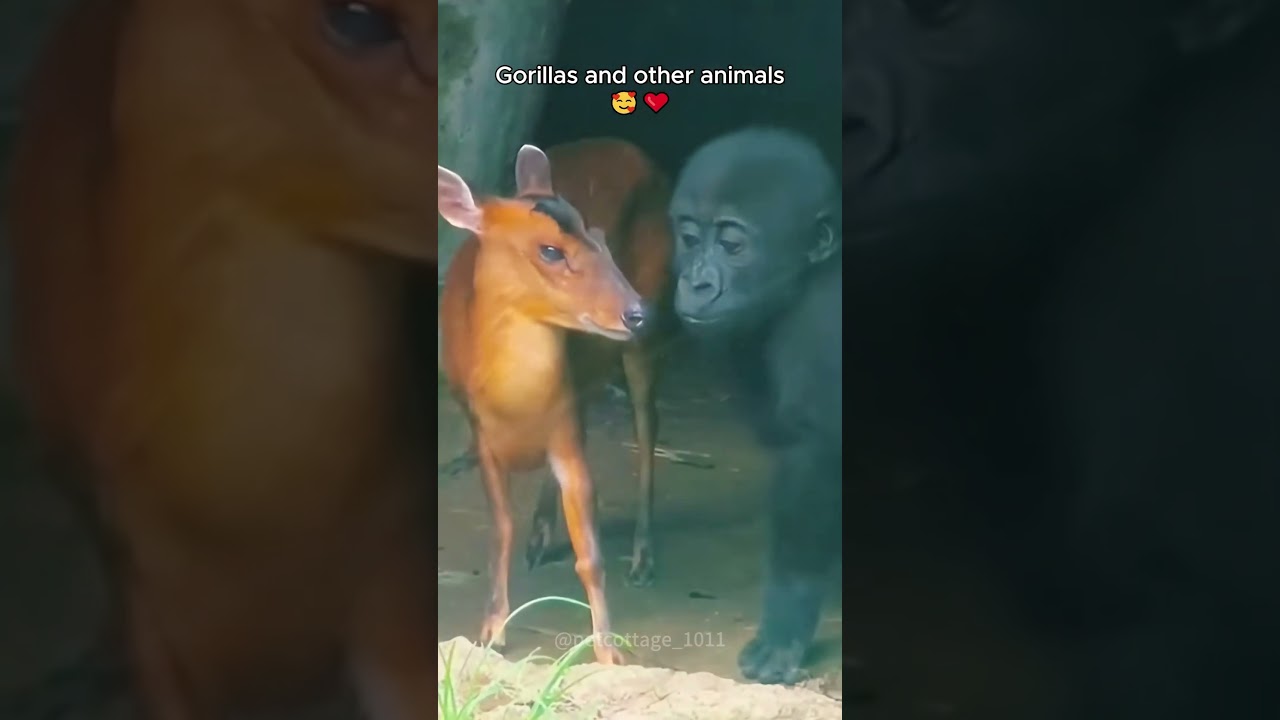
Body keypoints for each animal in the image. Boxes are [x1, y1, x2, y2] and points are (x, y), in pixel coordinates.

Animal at [668, 126, 842, 685]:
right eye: (689, 238)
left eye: (732, 245)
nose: (696, 282)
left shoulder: (823, 323)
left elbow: (813, 456)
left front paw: (786, 627)